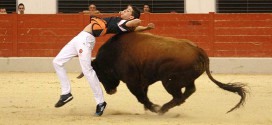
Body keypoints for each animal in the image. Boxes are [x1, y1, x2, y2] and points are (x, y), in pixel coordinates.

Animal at [77, 32, 248, 114]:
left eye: (99, 75)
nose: (110, 91)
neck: (114, 54)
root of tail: (198, 50)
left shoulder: (132, 82)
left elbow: (141, 97)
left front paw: (153, 107)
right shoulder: (143, 80)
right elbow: (144, 95)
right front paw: (149, 109)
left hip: (169, 81)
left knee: (179, 96)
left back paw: (162, 109)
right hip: (183, 80)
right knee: (189, 91)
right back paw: (164, 108)